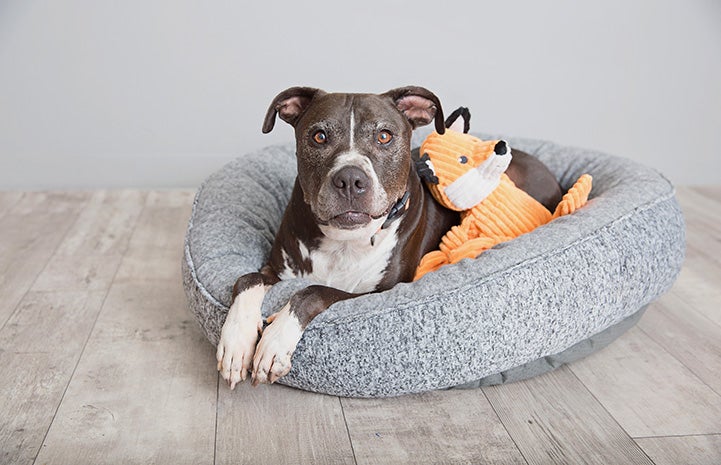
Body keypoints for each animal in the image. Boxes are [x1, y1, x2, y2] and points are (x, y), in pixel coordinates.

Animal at [214, 85, 564, 386]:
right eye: (319, 136)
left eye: (384, 136)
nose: (350, 179)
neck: (344, 241)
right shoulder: (275, 268)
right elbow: (246, 279)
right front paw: (236, 344)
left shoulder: (377, 293)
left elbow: (313, 291)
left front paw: (274, 342)